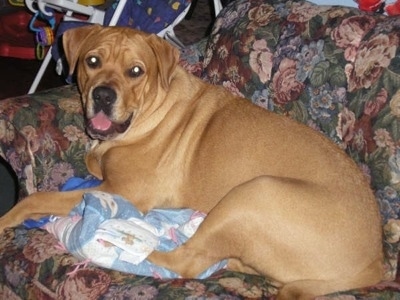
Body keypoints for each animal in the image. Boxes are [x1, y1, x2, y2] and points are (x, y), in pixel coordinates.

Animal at [0, 25, 382, 298]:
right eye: (92, 61)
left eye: (136, 71)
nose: (103, 95)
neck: (150, 110)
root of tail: (375, 262)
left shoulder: (122, 190)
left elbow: (36, 198)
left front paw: (8, 219)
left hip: (255, 192)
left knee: (186, 260)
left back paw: (121, 245)